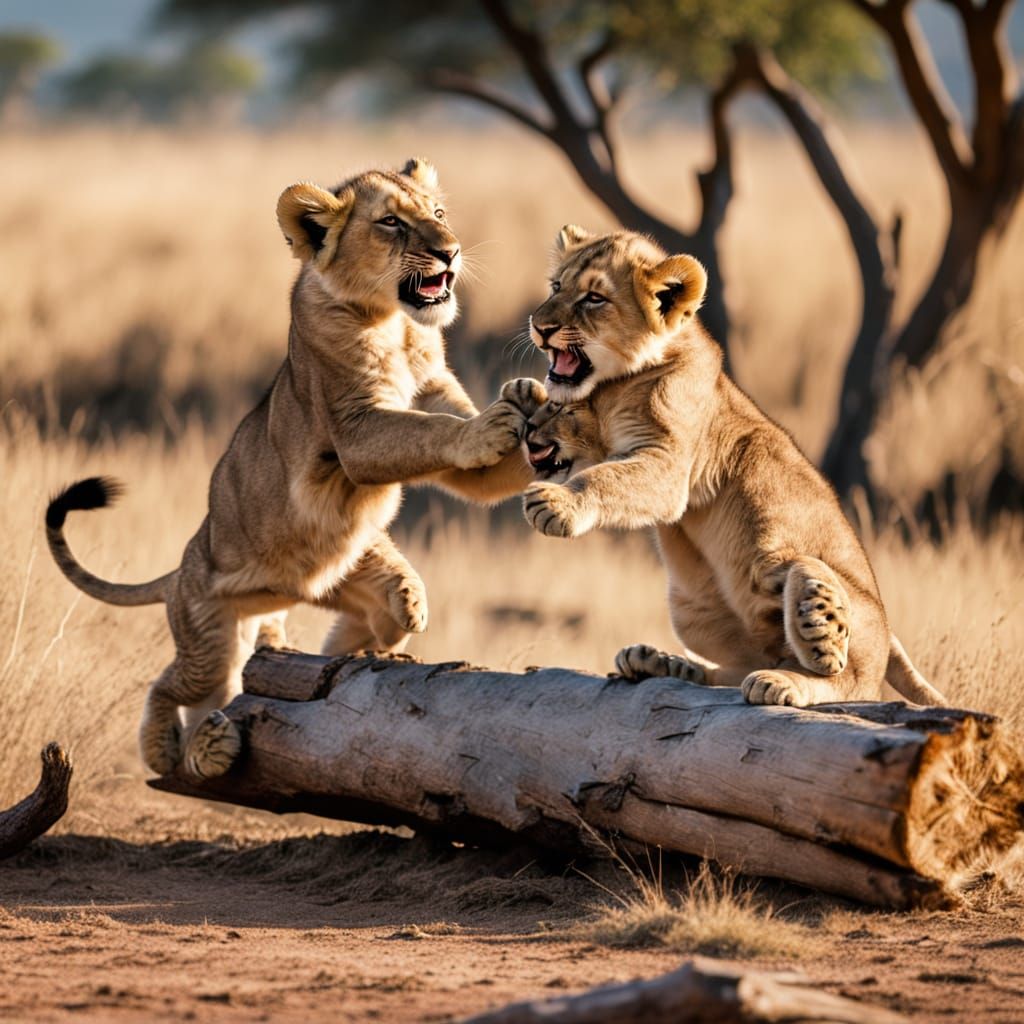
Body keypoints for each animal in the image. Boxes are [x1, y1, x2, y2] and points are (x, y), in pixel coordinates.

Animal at [46, 158, 544, 779]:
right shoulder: (356, 431)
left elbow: (474, 454)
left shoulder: (434, 400)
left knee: (366, 629)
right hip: (211, 635)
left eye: (438, 213)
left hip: (330, 585)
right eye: (390, 223)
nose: (450, 251)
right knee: (175, 687)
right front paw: (493, 425)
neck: (400, 325)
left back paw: (388, 616)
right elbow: (429, 430)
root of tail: (181, 566)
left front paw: (536, 401)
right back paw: (180, 750)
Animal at [518, 225, 945, 708]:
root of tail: (889, 633)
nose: (540, 326)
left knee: (846, 679)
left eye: (594, 298)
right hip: (693, 612)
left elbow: (606, 478)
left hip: (786, 575)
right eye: (556, 286)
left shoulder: (668, 466)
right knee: (731, 669)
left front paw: (555, 505)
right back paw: (657, 662)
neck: (613, 388)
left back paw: (795, 663)